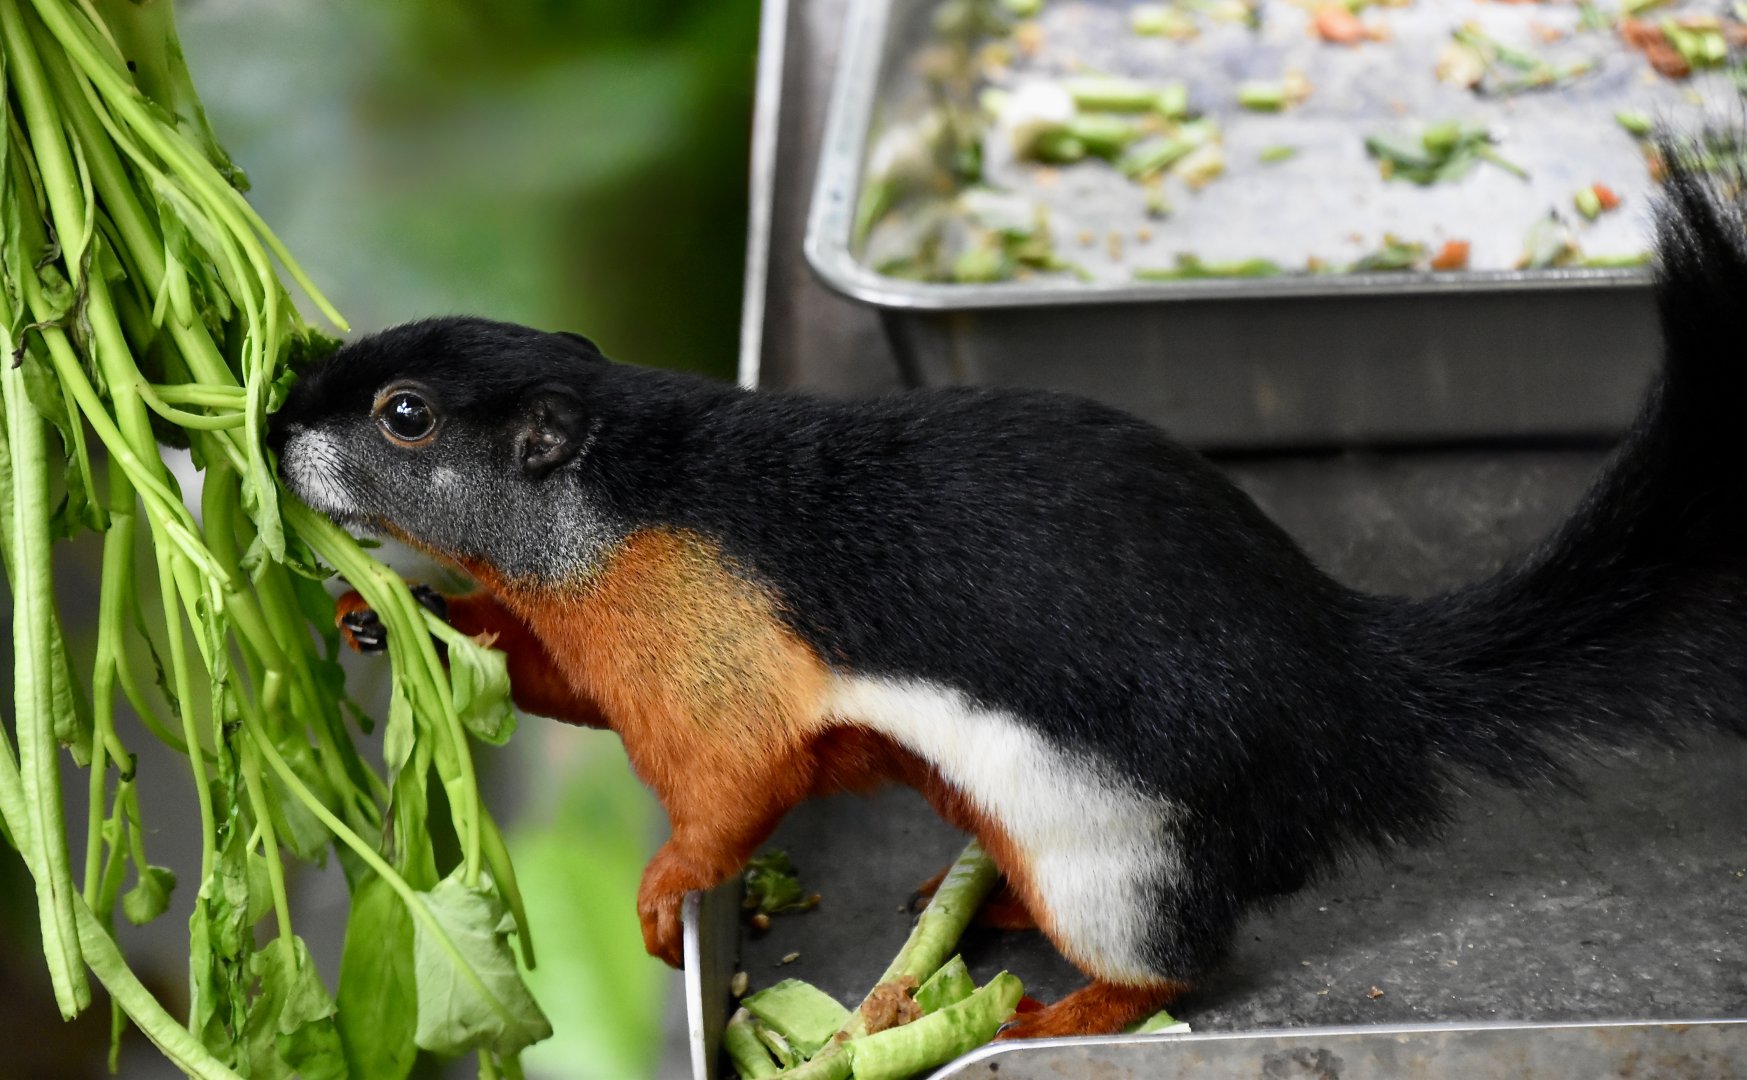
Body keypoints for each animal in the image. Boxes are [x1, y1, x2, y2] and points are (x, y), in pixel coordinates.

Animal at [267, 165, 1747, 1039]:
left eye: (404, 417)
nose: (274, 422)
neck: (632, 496)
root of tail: (1354, 692)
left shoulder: (708, 650)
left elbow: (731, 781)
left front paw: (666, 890)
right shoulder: (606, 641)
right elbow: (551, 675)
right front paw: (392, 620)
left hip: (1118, 851)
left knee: (1173, 963)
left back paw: (1057, 1018)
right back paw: (976, 904)